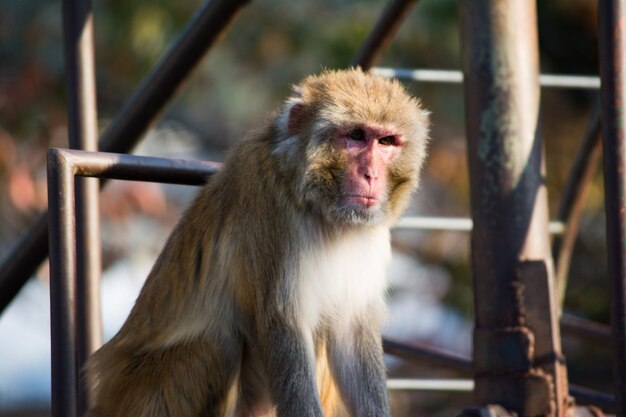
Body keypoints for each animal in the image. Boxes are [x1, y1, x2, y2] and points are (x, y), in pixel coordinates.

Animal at [85, 68, 428, 416]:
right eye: (356, 136)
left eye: (386, 142)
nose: (371, 175)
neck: (316, 201)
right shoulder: (269, 205)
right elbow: (283, 323)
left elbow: (350, 332)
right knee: (220, 343)